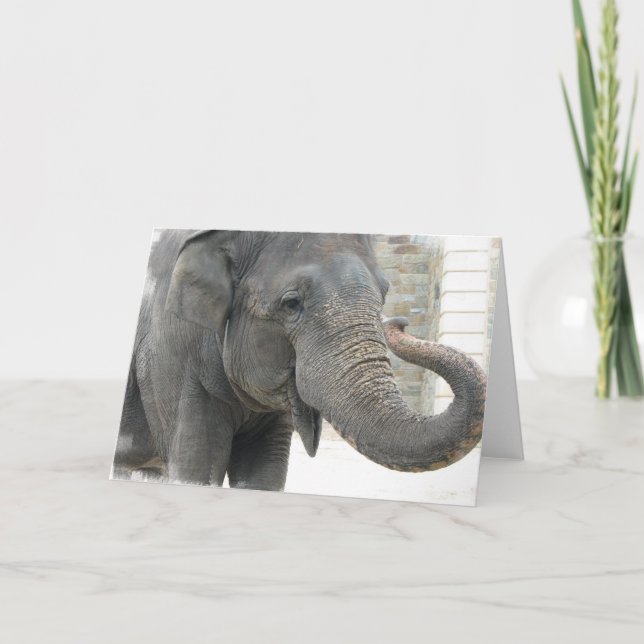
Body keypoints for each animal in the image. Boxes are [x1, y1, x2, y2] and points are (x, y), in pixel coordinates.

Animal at [111, 229, 487, 491]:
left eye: (384, 293)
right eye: (292, 303)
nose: (399, 322)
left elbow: (264, 473)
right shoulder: (170, 355)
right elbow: (195, 466)